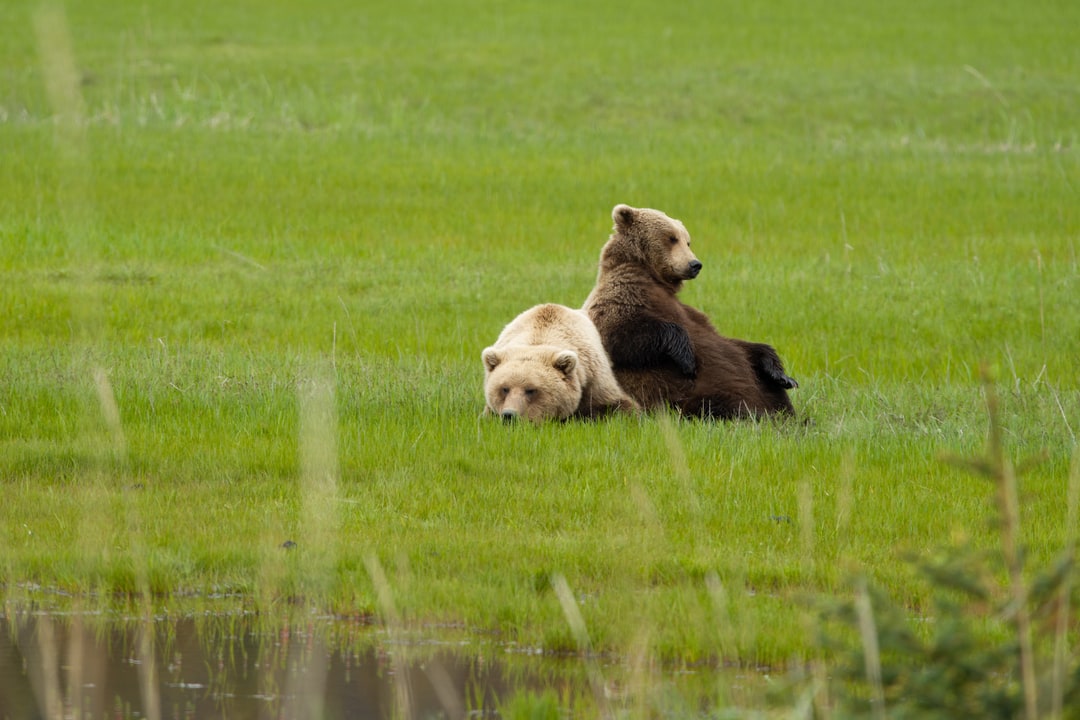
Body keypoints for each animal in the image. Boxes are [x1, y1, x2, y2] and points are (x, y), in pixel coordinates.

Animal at [582, 203, 797, 419]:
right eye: (671, 238)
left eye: (688, 241)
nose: (695, 264)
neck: (653, 278)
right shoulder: (623, 295)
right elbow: (620, 333)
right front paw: (687, 358)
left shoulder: (690, 312)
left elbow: (734, 342)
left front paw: (781, 373)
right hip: (681, 391)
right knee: (723, 400)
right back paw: (756, 415)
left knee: (771, 390)